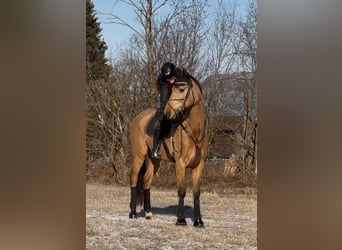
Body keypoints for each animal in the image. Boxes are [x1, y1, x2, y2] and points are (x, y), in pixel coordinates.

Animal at [128, 69, 208, 228]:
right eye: (174, 88)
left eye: (182, 89)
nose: (167, 113)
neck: (195, 131)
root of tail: (138, 118)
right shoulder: (180, 164)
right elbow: (181, 191)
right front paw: (181, 220)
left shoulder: (199, 165)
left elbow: (196, 193)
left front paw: (198, 221)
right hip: (138, 156)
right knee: (134, 178)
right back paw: (132, 213)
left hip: (154, 160)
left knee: (146, 180)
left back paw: (148, 213)